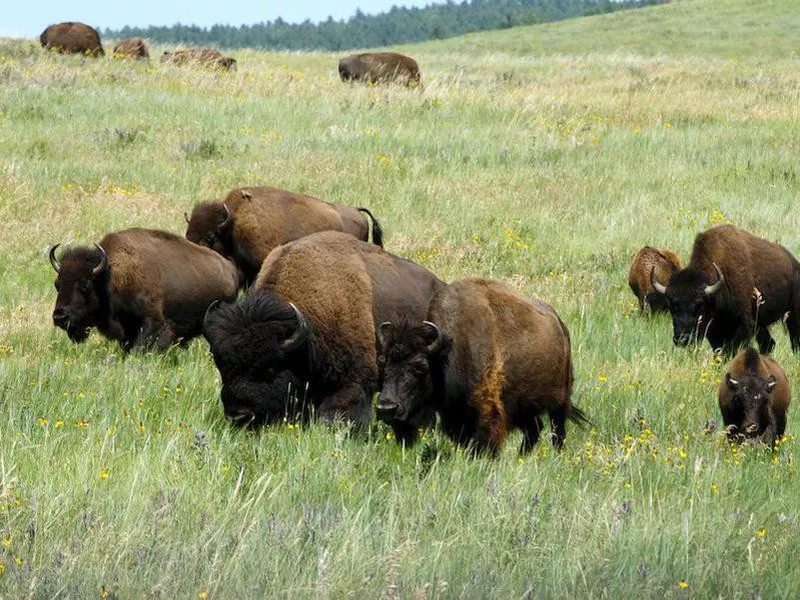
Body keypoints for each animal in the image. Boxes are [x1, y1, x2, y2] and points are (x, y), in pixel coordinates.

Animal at [48, 229, 238, 352]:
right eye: (57, 284)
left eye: (86, 285)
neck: (110, 276)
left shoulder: (153, 323)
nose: (59, 317)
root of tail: (231, 270)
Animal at [376, 278, 588, 454]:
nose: (386, 407)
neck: (450, 351)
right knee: (534, 430)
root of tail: (559, 324)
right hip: (523, 405)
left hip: (560, 400)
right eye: (383, 363)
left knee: (557, 430)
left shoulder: (488, 410)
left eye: (420, 367)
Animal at [648, 225, 800, 356]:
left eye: (699, 305)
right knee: (769, 344)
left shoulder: (744, 326)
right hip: (762, 324)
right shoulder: (714, 329)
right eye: (672, 306)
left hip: (792, 315)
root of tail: (795, 263)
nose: (683, 339)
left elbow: (730, 349)